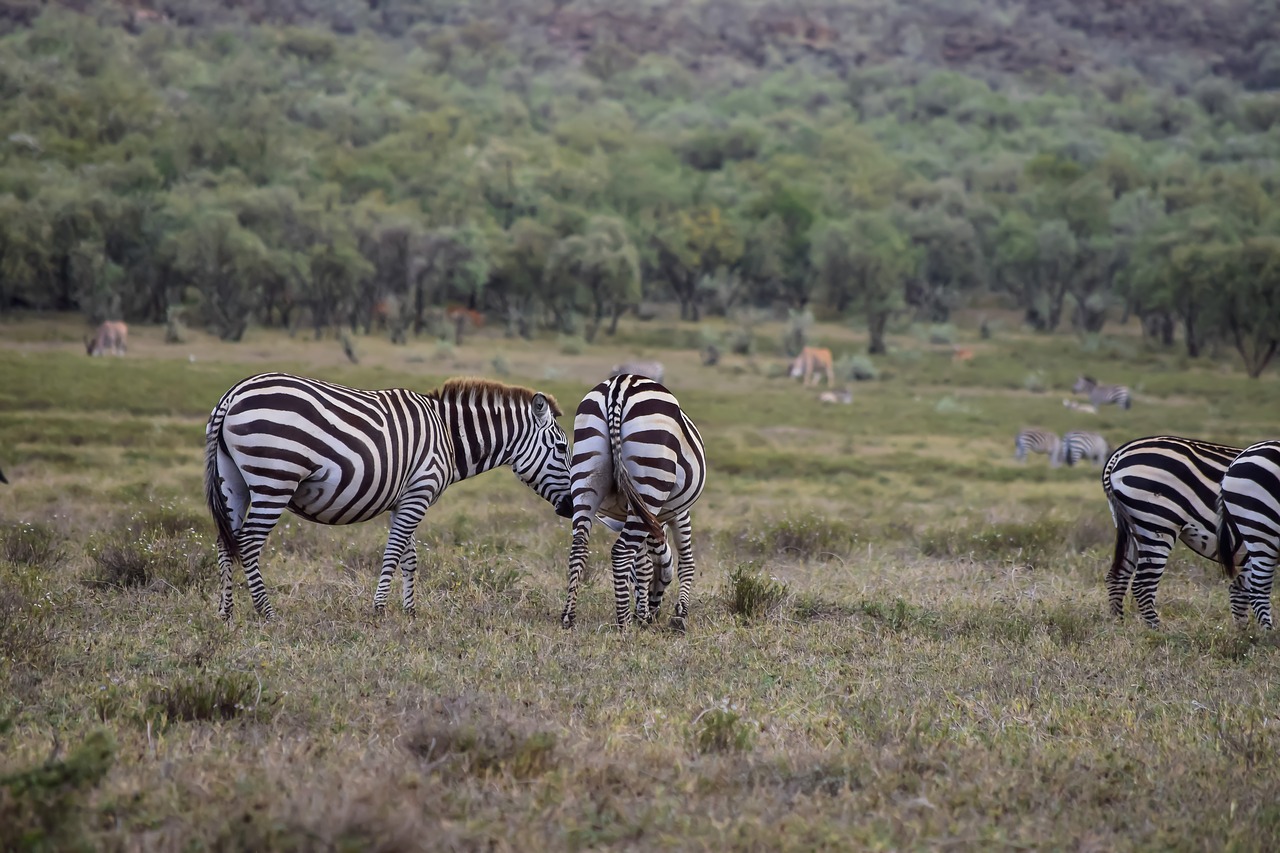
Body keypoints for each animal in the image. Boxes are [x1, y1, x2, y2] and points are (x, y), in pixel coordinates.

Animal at [202, 371, 573, 617]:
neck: (449, 437)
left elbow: (409, 556)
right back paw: (266, 612)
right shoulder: (420, 491)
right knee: (249, 542)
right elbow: (394, 551)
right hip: (275, 478)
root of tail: (232, 395)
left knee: (226, 541)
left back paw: (226, 612)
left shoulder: (406, 498)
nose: (571, 507)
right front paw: (379, 608)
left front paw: (410, 610)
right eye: (561, 447)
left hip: (231, 480)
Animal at [563, 376, 711, 627]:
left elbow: (643, 565)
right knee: (621, 552)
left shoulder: (637, 515)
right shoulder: (678, 512)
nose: (654, 614)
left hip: (586, 474)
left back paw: (568, 616)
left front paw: (642, 612)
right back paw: (624, 622)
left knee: (579, 546)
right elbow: (684, 562)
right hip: (651, 480)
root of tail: (620, 385)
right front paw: (679, 615)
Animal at [1105, 432, 1244, 625]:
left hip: (1130, 529)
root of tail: (1119, 454)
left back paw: (1118, 626)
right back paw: (1156, 631)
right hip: (1157, 524)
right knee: (1143, 585)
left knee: (1118, 577)